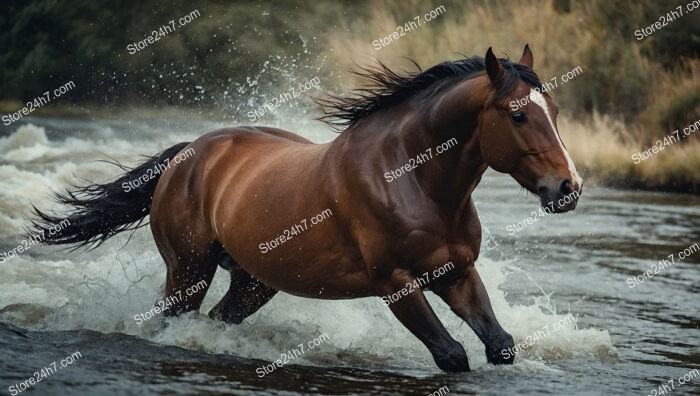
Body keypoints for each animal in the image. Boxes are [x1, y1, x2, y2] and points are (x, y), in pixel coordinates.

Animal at [30, 45, 580, 372]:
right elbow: (451, 355)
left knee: (218, 319)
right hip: (188, 269)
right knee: (175, 321)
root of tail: (188, 153)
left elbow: (498, 345)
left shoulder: (455, 273)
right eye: (518, 115)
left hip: (254, 281)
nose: (568, 188)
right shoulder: (396, 283)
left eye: (554, 111)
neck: (412, 179)